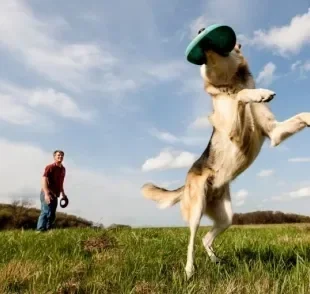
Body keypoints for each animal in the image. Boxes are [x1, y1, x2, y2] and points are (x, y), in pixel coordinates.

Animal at [141, 35, 310, 280]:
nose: (202, 31)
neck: (230, 85)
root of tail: (187, 179)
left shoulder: (275, 132)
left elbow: (302, 115)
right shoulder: (235, 132)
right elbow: (242, 96)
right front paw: (258, 94)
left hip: (226, 216)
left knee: (205, 238)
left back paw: (216, 260)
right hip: (197, 208)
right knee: (191, 240)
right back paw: (189, 271)